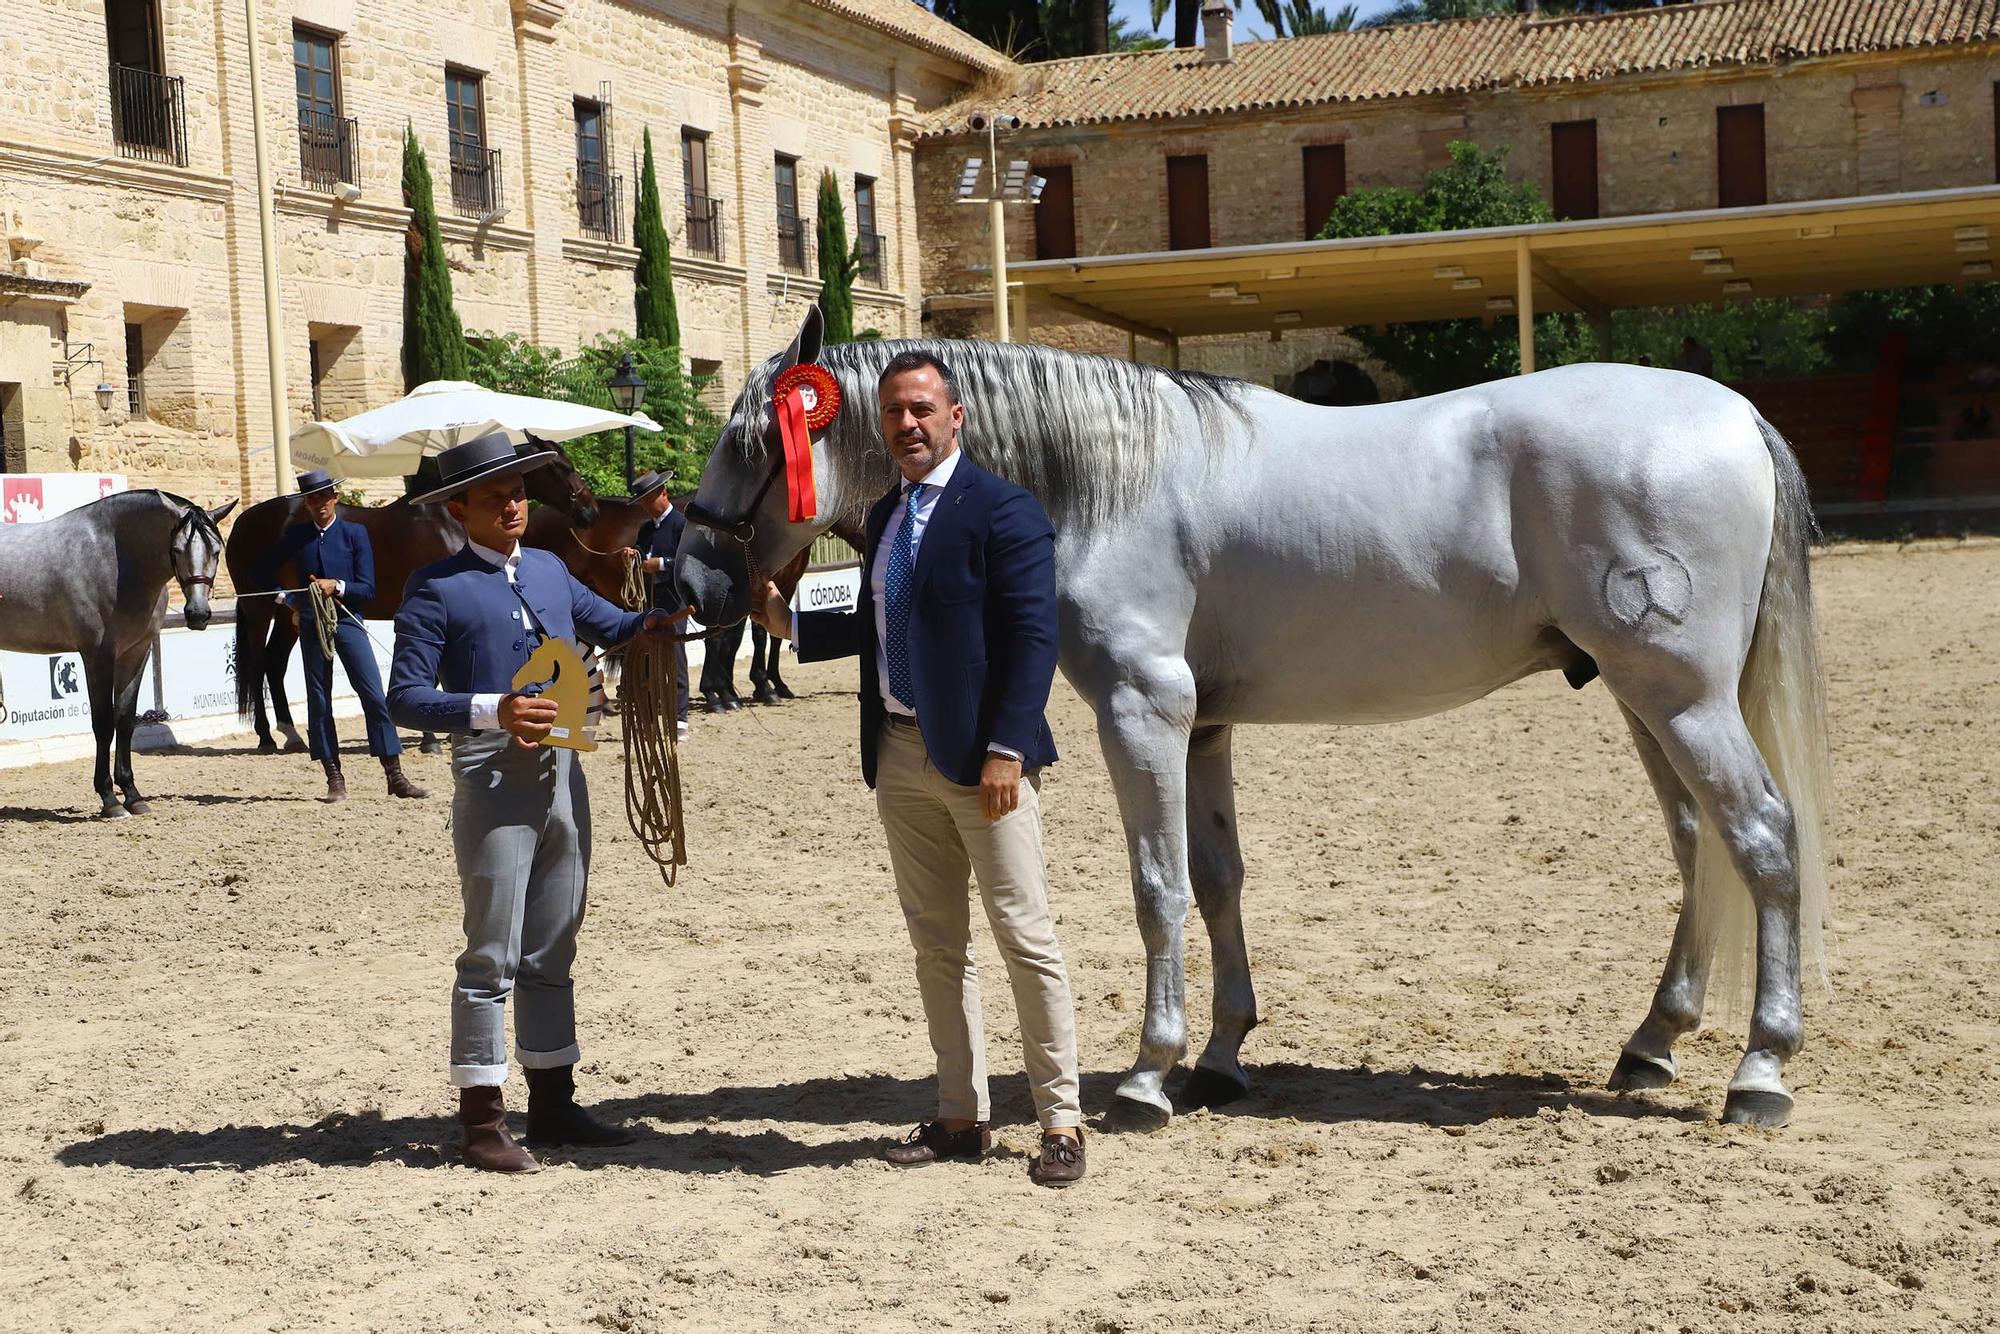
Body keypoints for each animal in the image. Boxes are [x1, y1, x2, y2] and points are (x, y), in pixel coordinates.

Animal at [0, 494, 236, 816]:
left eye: (216, 550)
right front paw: (109, 800)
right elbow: (103, 725)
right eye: (176, 550)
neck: (114, 560)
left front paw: (133, 795)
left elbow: (124, 720)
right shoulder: (97, 657)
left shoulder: (136, 653)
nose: (198, 614)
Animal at [680, 314, 1832, 1136]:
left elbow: (1157, 886)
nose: (689, 579)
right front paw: (1222, 1057)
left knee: (1764, 838)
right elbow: (1216, 876)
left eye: (748, 437)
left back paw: (1759, 1069)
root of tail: (1735, 417)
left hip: (1680, 698)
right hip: (1648, 699)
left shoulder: (1143, 707)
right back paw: (1653, 1042)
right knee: (1698, 846)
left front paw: (1148, 1076)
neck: (1110, 476)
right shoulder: (1203, 725)